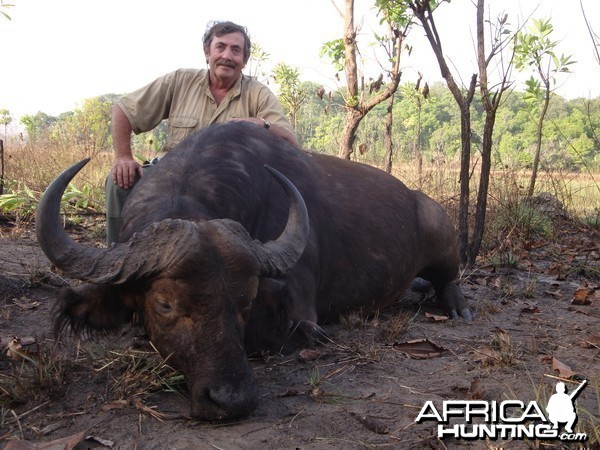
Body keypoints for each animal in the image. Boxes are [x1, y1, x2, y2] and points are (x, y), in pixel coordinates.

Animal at [35, 120, 472, 422]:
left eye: (245, 302)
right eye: (165, 305)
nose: (232, 400)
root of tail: (417, 200)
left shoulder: (301, 312)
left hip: (442, 241)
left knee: (449, 278)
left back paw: (455, 306)